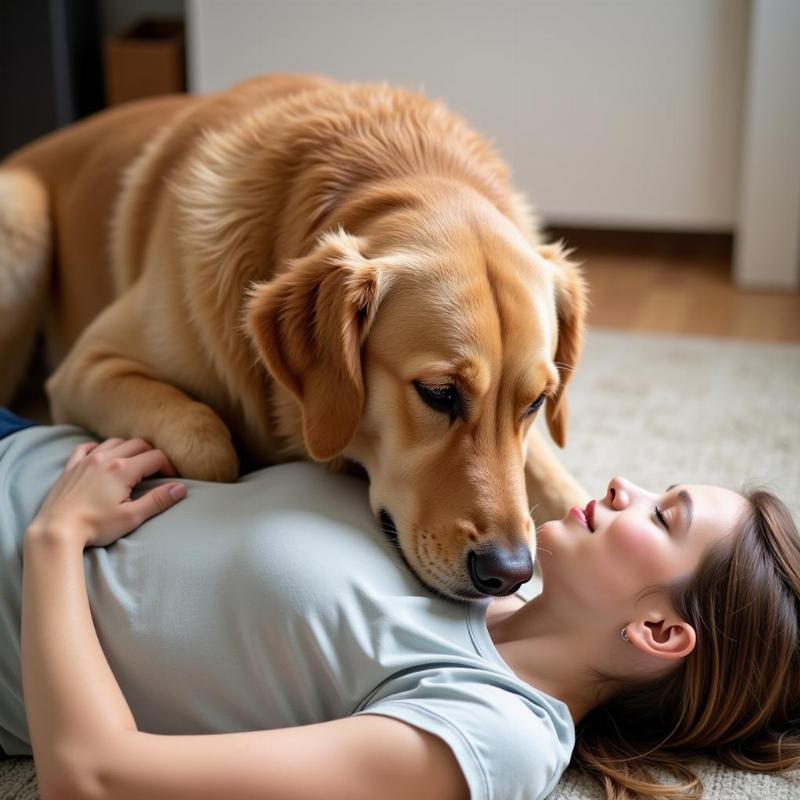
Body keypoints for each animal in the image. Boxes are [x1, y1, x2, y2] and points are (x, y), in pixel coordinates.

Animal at [0, 76, 588, 600]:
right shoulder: (86, 367)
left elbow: (561, 483)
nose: (511, 573)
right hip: (23, 216)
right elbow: (208, 444)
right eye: (438, 394)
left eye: (537, 402)